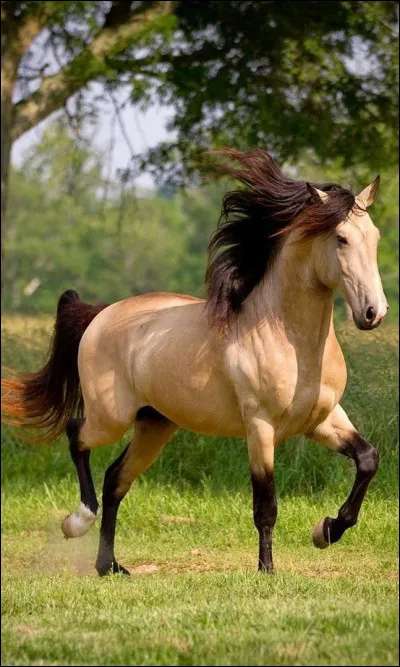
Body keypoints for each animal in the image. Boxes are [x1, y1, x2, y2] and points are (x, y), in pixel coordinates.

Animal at [1, 148, 388, 576]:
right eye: (341, 239)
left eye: (374, 237)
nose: (373, 313)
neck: (291, 342)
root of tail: (101, 315)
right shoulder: (260, 427)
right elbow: (265, 505)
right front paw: (267, 570)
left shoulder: (323, 420)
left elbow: (367, 459)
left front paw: (326, 530)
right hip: (111, 417)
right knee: (76, 435)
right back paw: (77, 522)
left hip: (154, 425)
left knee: (116, 478)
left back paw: (110, 566)